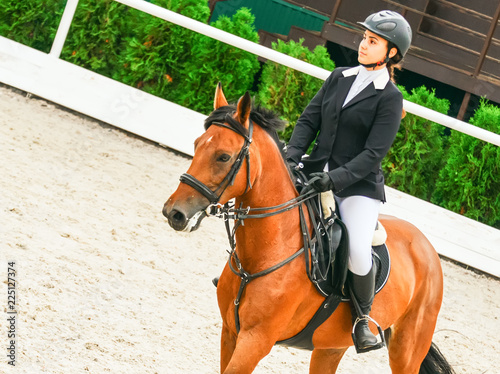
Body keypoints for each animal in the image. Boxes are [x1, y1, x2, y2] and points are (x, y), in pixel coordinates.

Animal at [163, 84, 454, 374]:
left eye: (223, 156)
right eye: (197, 145)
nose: (174, 213)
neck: (267, 252)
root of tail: (427, 247)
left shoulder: (255, 340)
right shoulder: (230, 332)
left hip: (407, 350)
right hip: (331, 347)